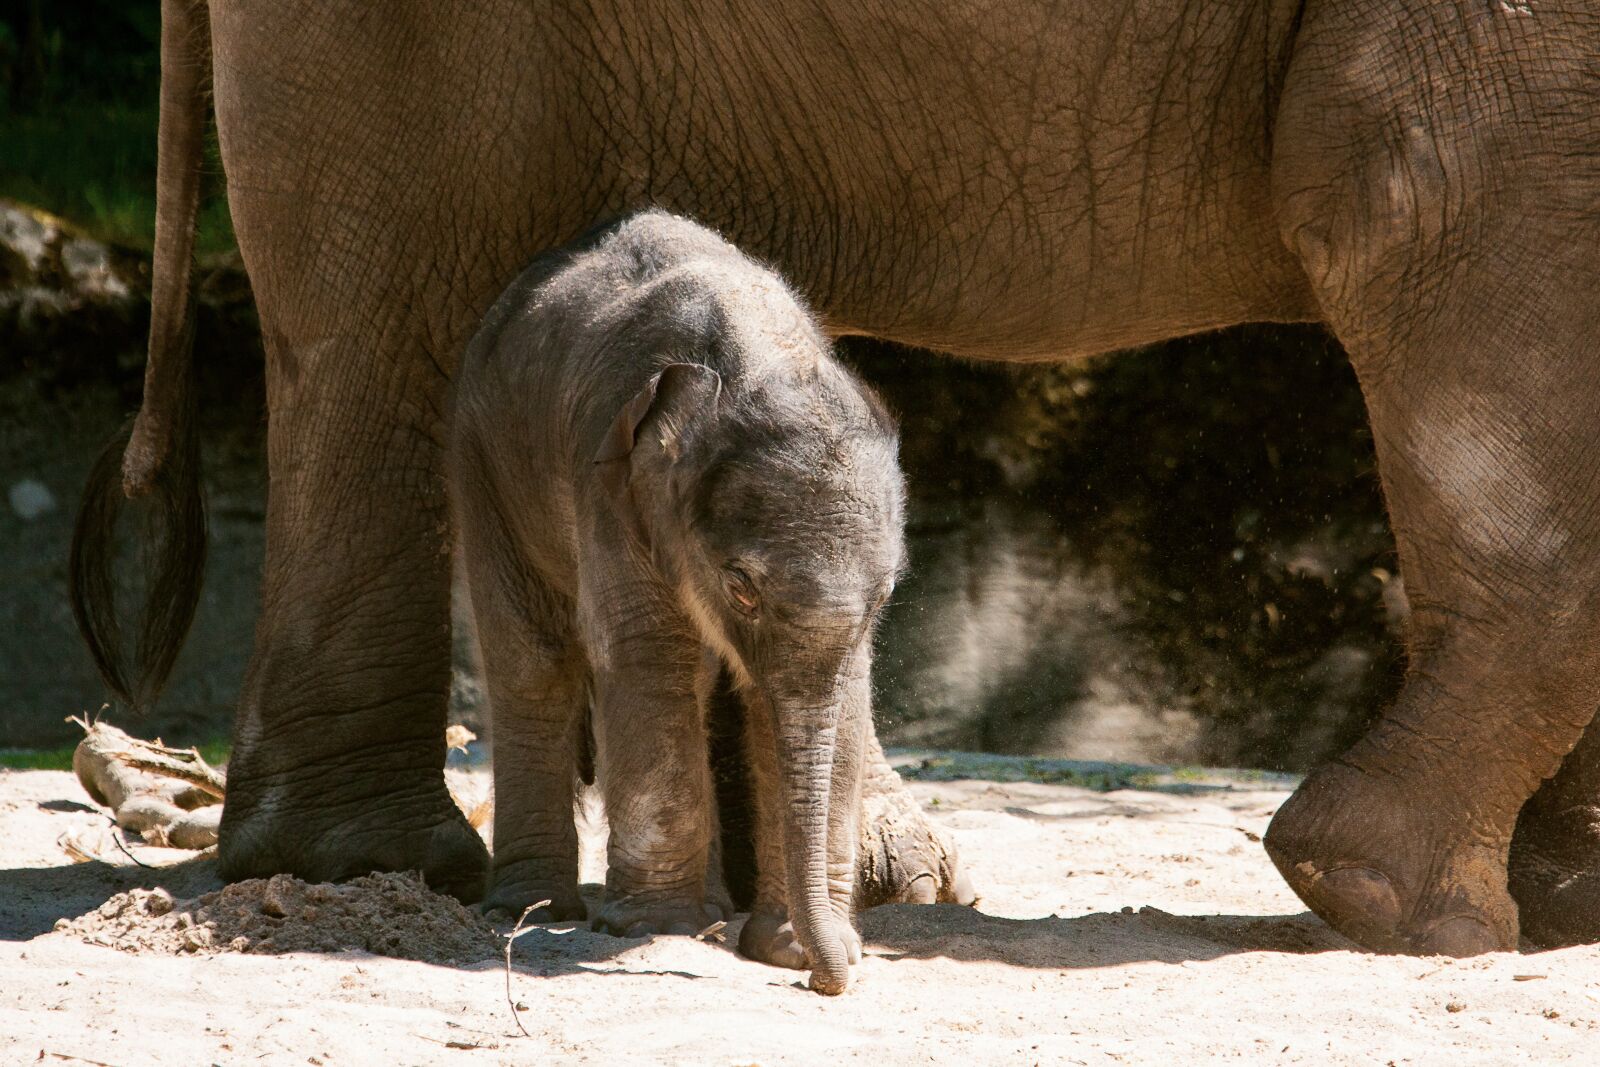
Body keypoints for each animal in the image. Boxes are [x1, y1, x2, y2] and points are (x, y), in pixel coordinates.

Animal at [451, 210, 905, 993]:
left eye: (886, 595)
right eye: (741, 586)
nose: (829, 978)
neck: (761, 360)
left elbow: (830, 697)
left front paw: (788, 945)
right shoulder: (611, 485)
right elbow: (651, 654)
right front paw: (654, 928)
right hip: (485, 460)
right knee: (532, 663)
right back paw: (533, 909)